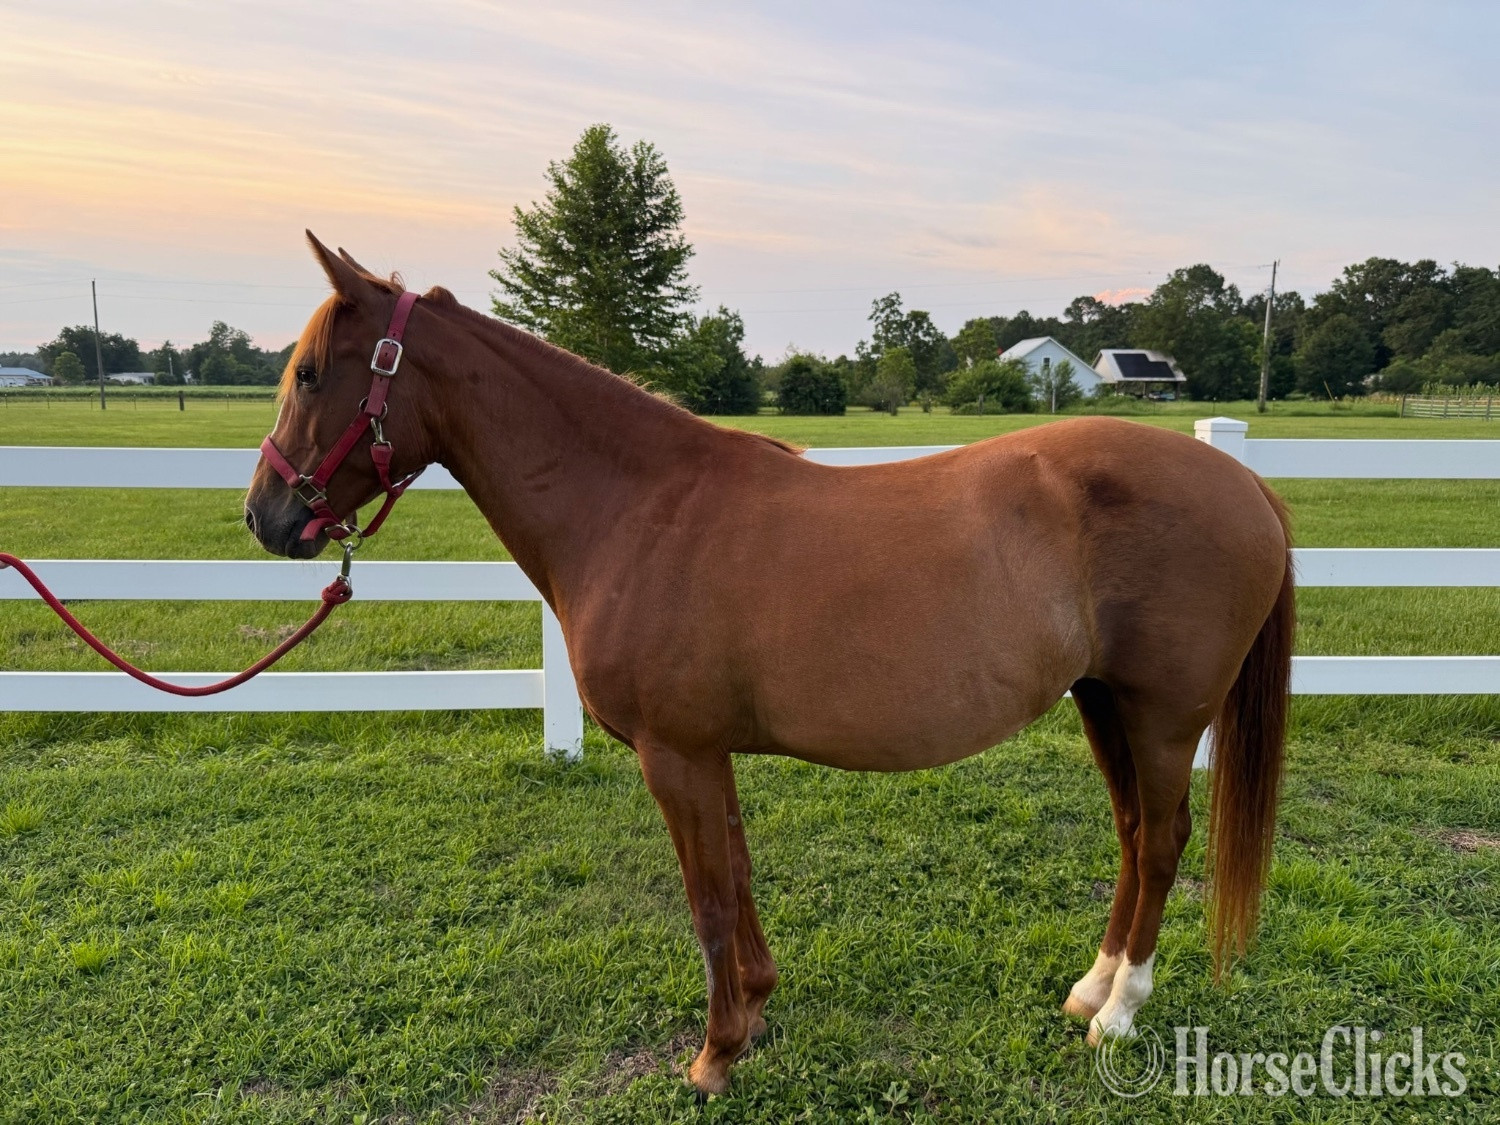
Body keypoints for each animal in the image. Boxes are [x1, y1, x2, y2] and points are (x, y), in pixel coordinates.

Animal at [244, 233, 1294, 1096]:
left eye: (310, 374)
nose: (266, 516)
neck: (639, 507)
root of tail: (1246, 485)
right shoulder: (708, 753)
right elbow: (739, 878)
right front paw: (754, 1005)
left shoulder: (674, 754)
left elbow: (708, 898)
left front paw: (714, 1056)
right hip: (1101, 701)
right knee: (1131, 833)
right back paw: (1092, 986)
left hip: (1162, 717)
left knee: (1161, 842)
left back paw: (1119, 1016)